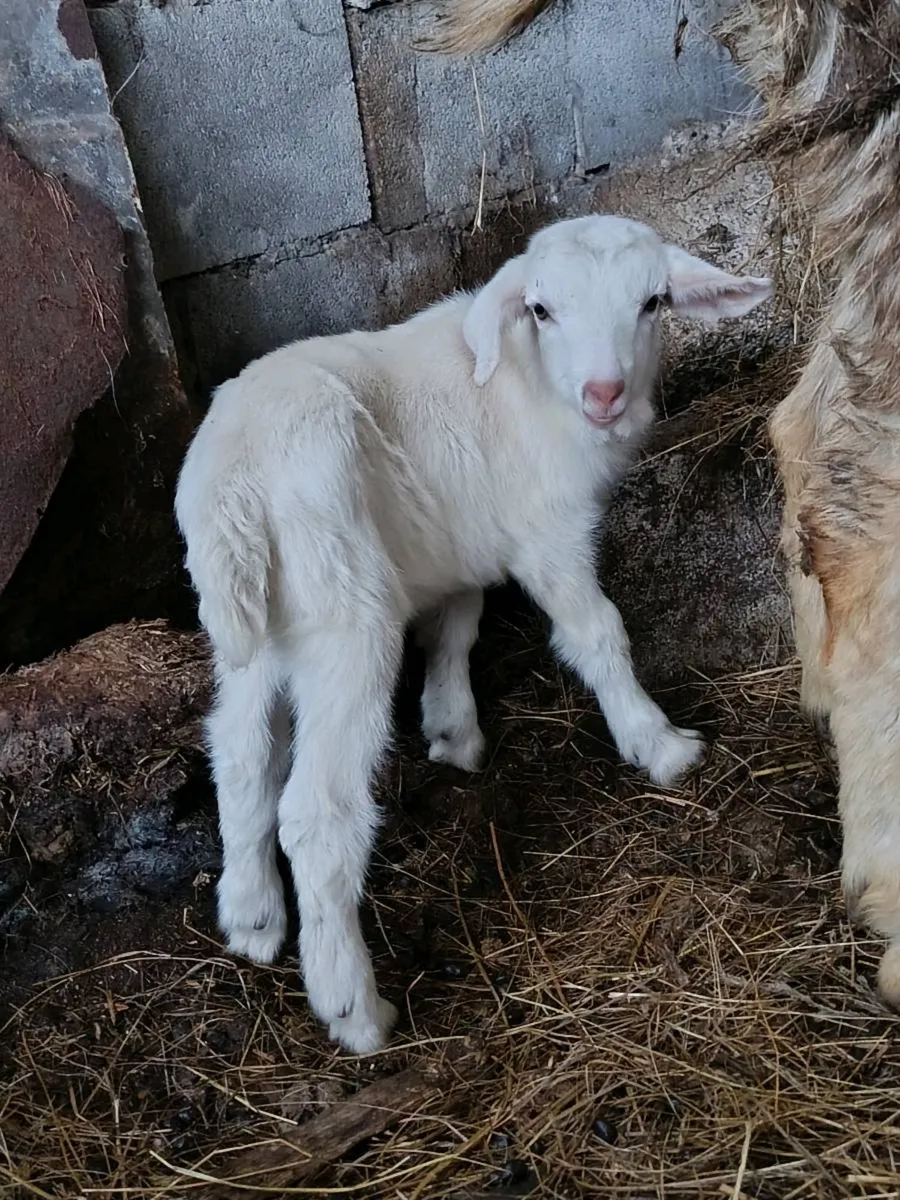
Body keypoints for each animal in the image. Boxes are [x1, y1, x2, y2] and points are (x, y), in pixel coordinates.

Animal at [175, 214, 772, 1053]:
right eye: (543, 310)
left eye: (653, 302)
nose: (605, 395)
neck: (527, 384)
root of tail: (235, 482)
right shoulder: (548, 530)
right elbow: (596, 634)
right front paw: (658, 743)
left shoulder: (456, 537)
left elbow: (455, 629)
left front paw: (454, 731)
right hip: (346, 614)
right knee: (318, 815)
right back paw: (354, 1007)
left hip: (252, 623)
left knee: (238, 746)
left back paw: (252, 913)